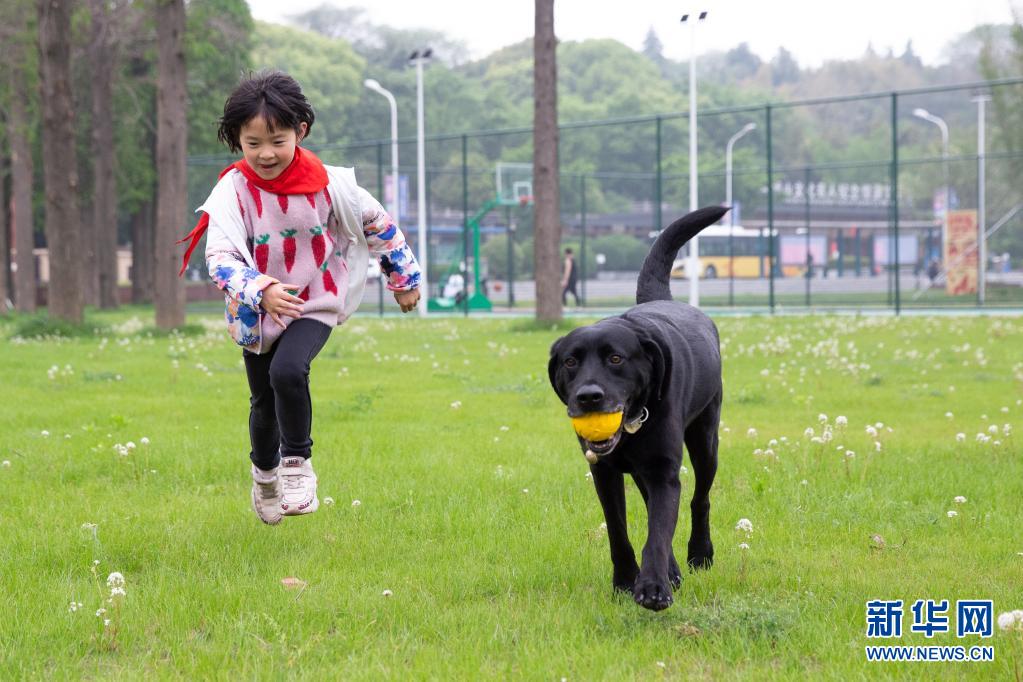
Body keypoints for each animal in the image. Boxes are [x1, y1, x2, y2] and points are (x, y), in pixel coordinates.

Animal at [548, 205, 728, 611]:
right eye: (570, 362)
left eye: (616, 358)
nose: (589, 396)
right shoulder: (604, 473)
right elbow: (619, 530)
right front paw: (625, 582)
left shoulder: (663, 470)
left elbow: (658, 532)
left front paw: (654, 587)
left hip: (705, 440)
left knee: (699, 499)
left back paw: (699, 554)